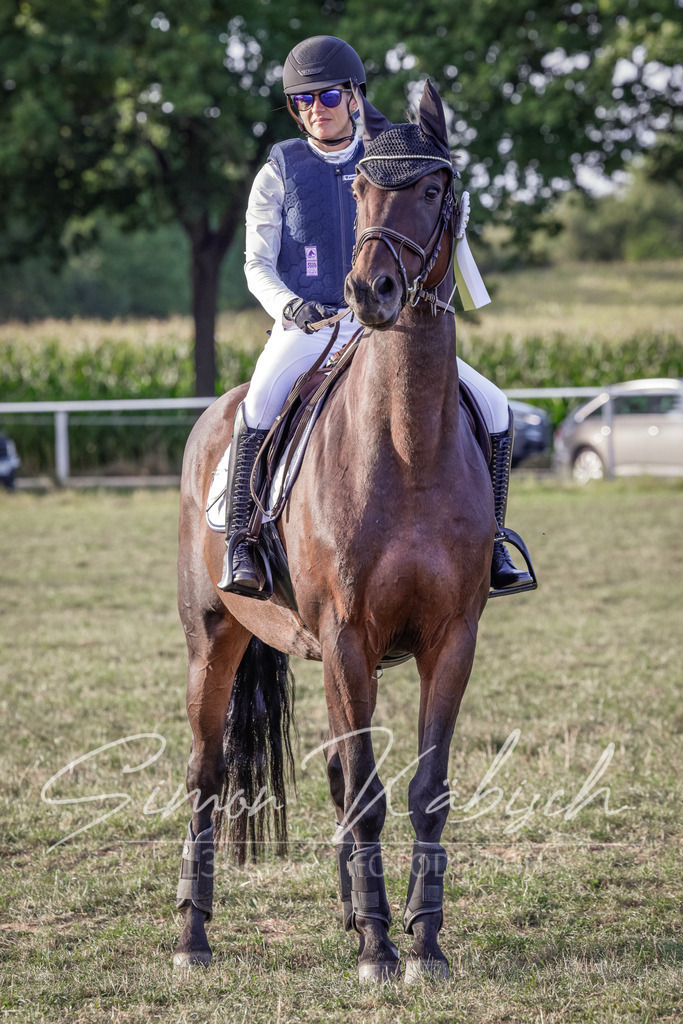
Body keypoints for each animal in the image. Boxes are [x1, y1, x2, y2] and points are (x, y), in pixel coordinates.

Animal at [173, 81, 495, 983]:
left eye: (432, 186)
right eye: (357, 188)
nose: (367, 294)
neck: (407, 447)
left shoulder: (450, 638)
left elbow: (421, 791)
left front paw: (420, 943)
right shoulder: (349, 636)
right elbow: (370, 795)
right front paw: (383, 950)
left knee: (332, 774)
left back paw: (353, 916)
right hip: (214, 641)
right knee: (207, 773)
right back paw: (192, 935)